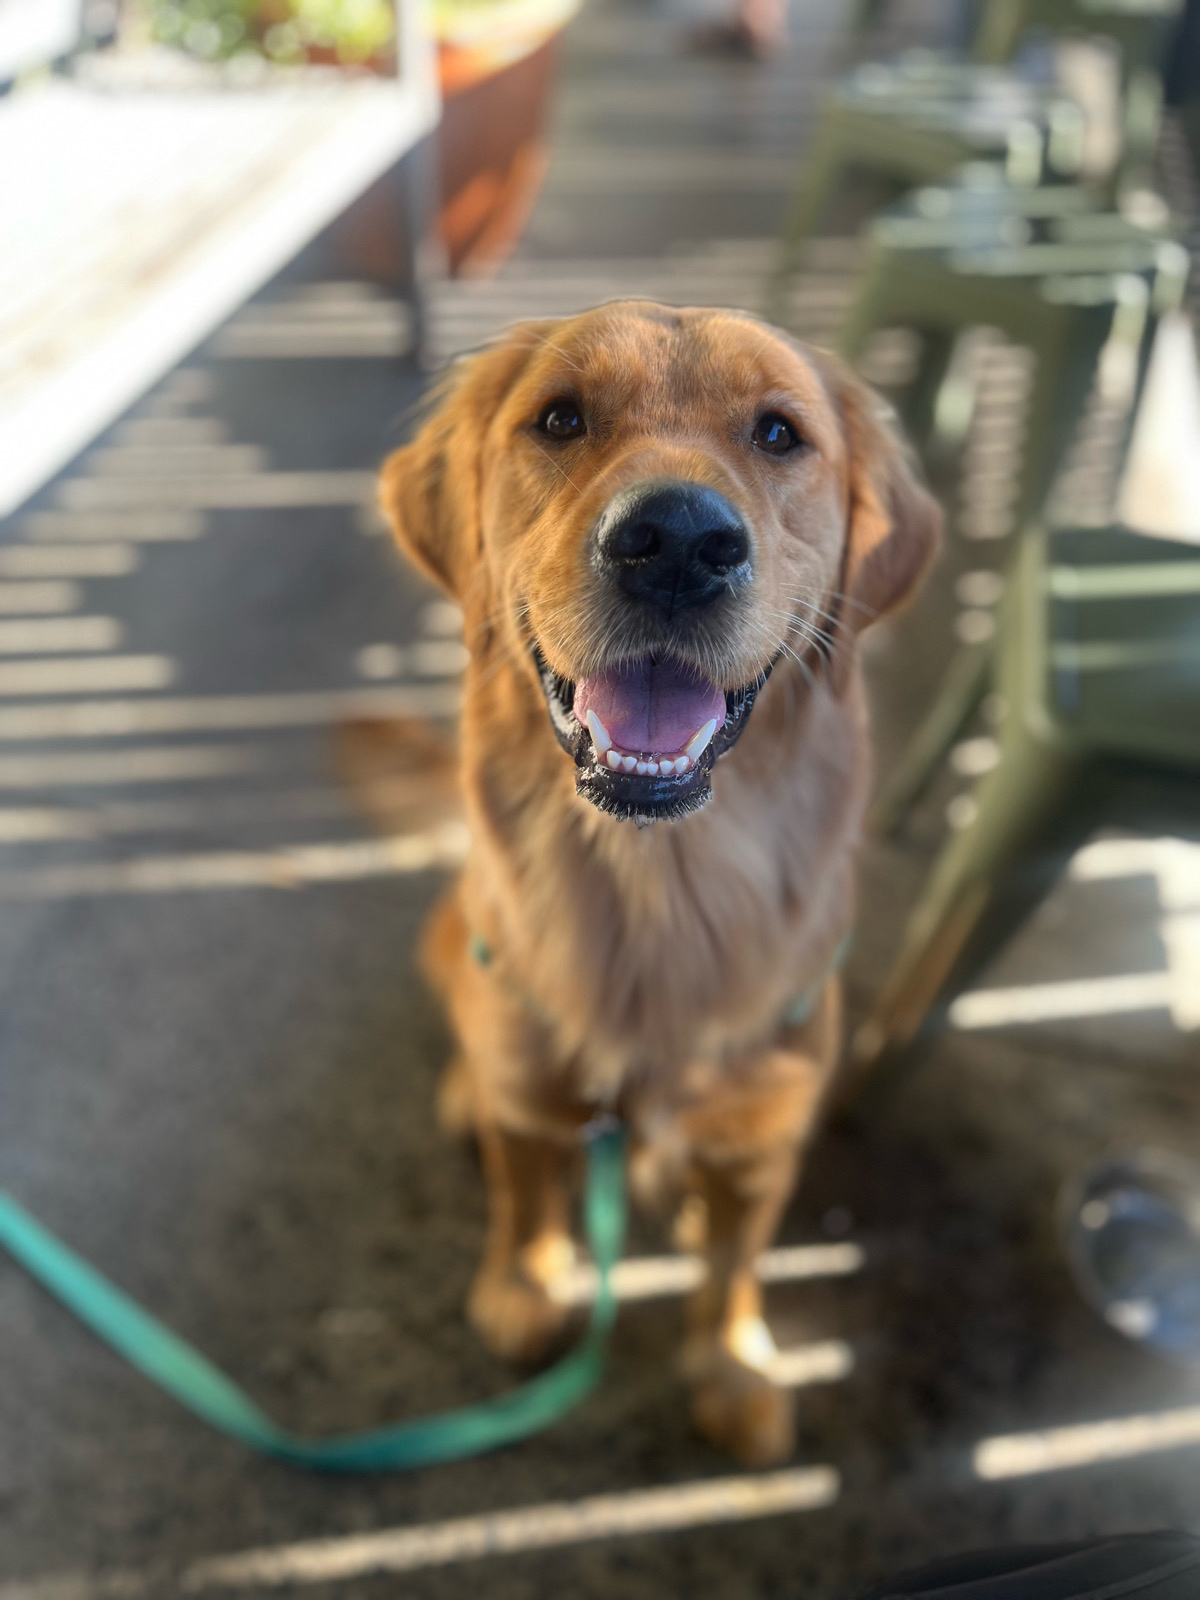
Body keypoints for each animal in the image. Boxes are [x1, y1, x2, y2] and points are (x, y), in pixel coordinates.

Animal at [380, 301, 938, 1466]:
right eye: (560, 418)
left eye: (778, 434)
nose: (678, 542)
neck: (660, 900)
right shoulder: (535, 1098)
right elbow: (524, 1197)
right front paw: (524, 1287)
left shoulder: (766, 1140)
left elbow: (734, 1268)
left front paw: (732, 1368)